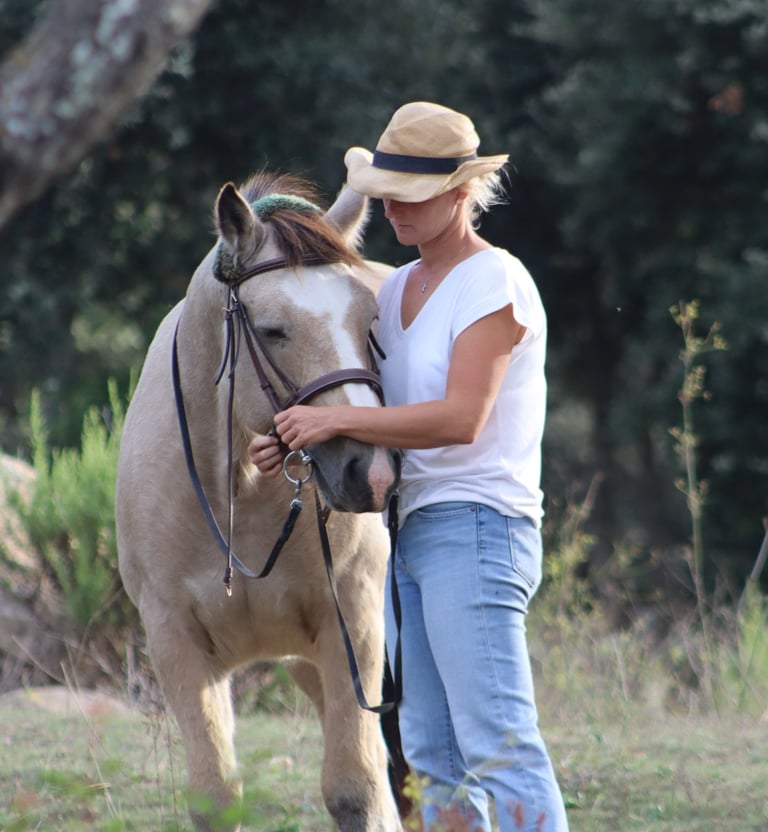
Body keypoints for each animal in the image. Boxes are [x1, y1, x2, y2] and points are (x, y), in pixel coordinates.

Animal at [116, 171, 404, 832]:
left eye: (372, 324)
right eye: (272, 330)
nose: (372, 472)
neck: (238, 492)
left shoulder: (353, 622)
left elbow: (357, 789)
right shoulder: (175, 641)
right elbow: (216, 794)